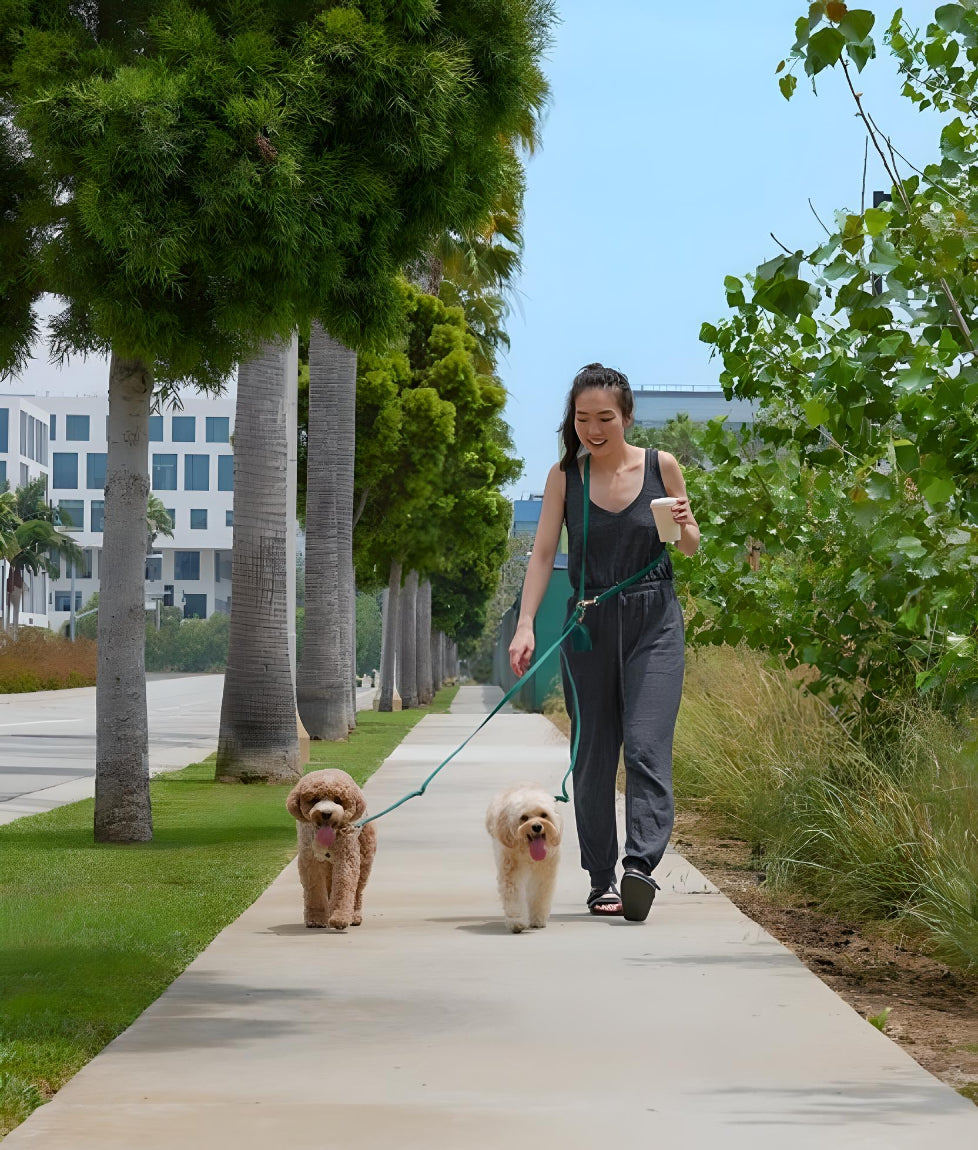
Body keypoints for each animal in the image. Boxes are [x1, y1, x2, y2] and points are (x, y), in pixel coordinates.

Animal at [284, 768, 375, 929]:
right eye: (314, 799)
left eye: (338, 800)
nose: (326, 813)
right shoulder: (311, 863)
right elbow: (314, 891)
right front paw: (316, 919)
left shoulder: (346, 860)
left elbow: (344, 888)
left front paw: (340, 918)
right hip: (327, 866)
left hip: (364, 859)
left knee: (357, 891)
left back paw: (355, 916)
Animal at [483, 782, 559, 933]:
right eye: (524, 817)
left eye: (544, 815)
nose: (537, 826)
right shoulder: (511, 873)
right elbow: (514, 896)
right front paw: (517, 921)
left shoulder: (543, 875)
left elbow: (539, 895)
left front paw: (537, 919)